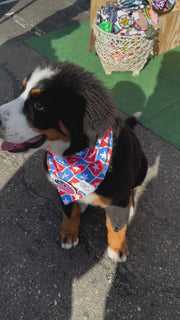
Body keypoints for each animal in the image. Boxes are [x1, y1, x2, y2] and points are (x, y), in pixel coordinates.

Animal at [0, 60, 148, 262]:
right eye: (22, 90)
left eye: (39, 104)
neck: (74, 160)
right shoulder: (62, 185)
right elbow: (69, 212)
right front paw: (68, 234)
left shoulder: (118, 198)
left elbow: (117, 225)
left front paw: (117, 248)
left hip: (142, 166)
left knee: (133, 190)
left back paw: (130, 207)